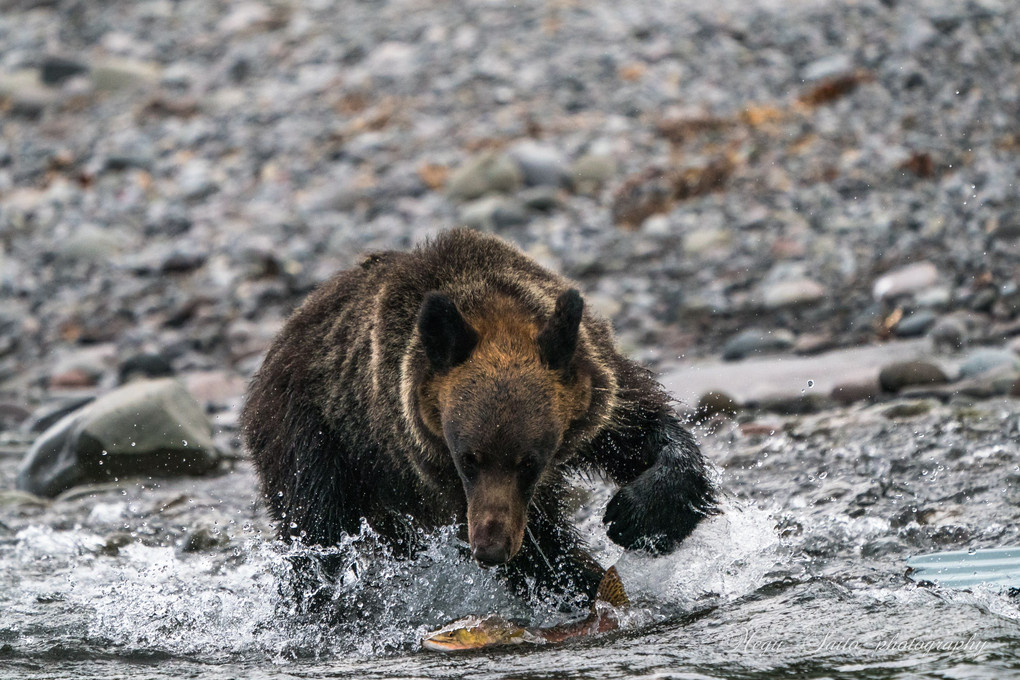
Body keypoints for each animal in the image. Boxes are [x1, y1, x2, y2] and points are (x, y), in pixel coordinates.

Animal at [241, 228, 714, 599]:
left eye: (529, 462)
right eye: (468, 459)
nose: (489, 547)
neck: (494, 314)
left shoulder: (597, 394)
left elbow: (646, 431)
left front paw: (636, 514)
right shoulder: (427, 460)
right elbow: (542, 550)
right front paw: (588, 584)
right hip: (315, 434)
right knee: (316, 526)